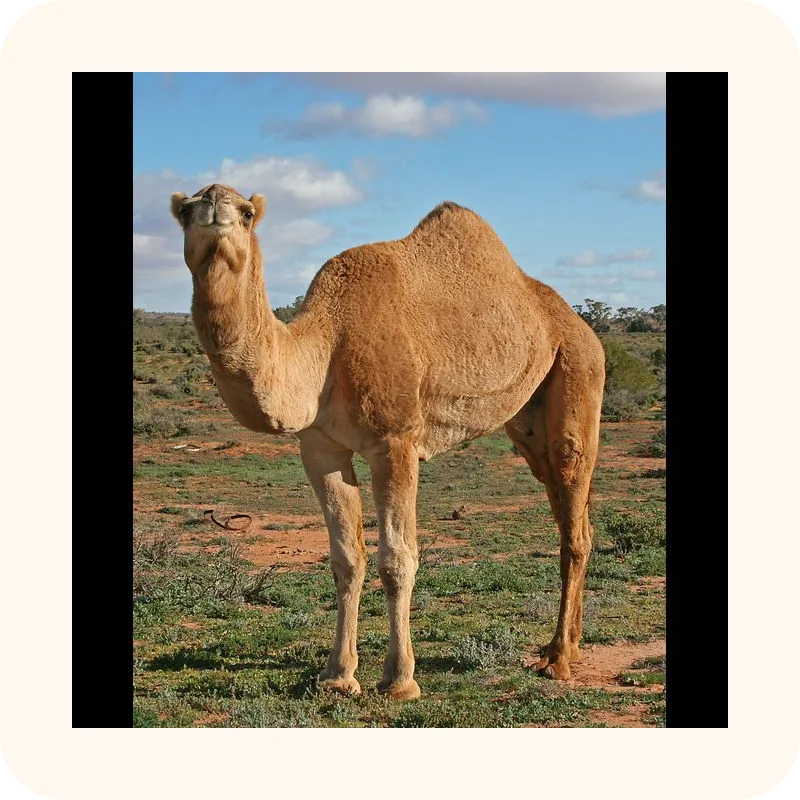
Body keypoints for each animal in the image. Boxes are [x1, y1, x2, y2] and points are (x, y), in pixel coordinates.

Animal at [170, 183, 605, 700]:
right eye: (185, 211)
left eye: (247, 212)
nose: (215, 203)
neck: (325, 348)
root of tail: (579, 324)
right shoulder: (320, 449)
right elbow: (346, 558)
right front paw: (338, 676)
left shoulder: (395, 442)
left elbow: (397, 559)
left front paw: (399, 679)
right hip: (528, 420)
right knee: (570, 514)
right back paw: (568, 646)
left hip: (579, 370)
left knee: (573, 510)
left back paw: (558, 659)